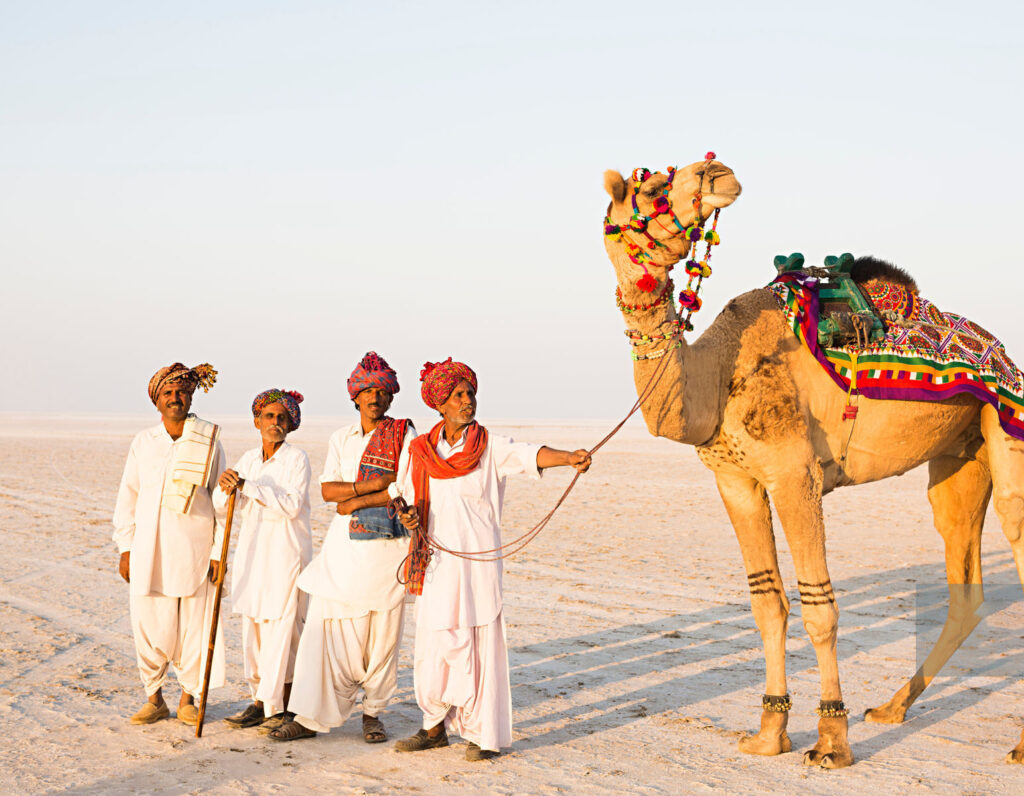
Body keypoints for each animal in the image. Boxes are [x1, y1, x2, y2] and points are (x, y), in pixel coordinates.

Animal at [598, 156, 1024, 762]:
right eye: (655, 186)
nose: (717, 172)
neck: (717, 371)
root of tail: (1006, 356)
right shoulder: (736, 480)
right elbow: (767, 605)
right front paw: (768, 731)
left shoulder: (793, 474)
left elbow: (819, 608)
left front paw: (830, 741)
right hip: (962, 455)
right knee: (962, 573)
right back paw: (890, 709)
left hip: (1007, 427)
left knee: (1011, 517)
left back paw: (1016, 745)